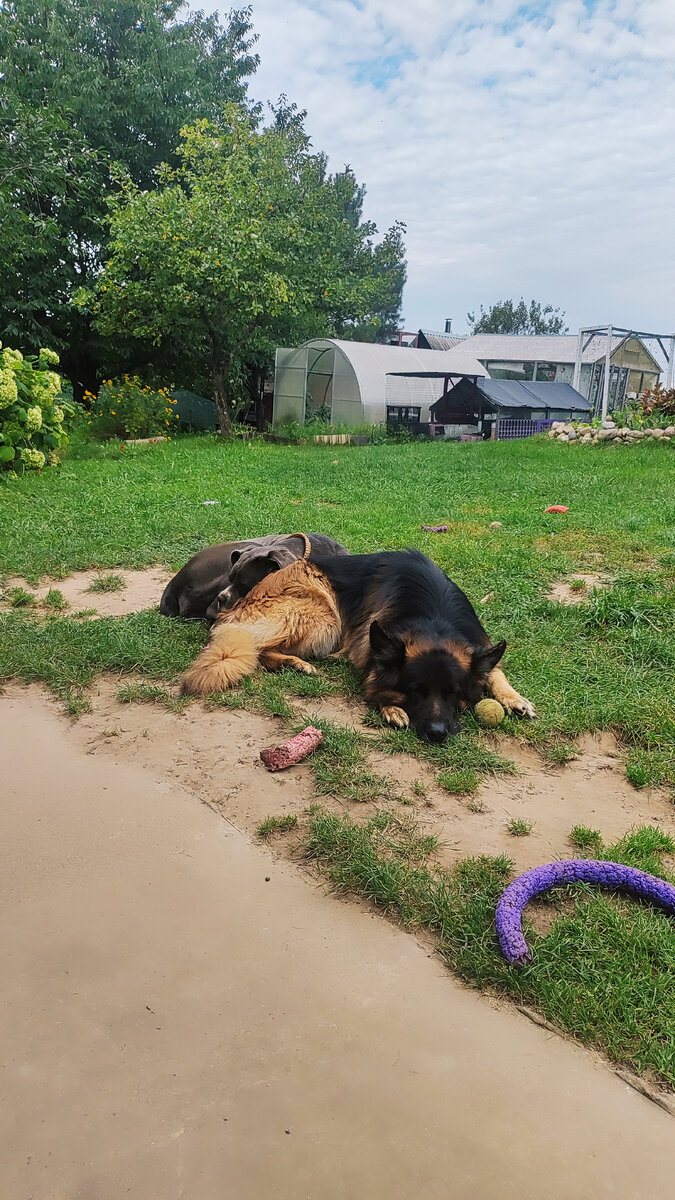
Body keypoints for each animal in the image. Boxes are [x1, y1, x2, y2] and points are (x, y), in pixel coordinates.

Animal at [180, 549, 535, 739]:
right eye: (415, 690)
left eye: (454, 693)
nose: (436, 734)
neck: (434, 616)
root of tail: (233, 609)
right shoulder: (369, 643)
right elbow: (373, 676)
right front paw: (390, 707)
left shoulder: (478, 644)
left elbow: (495, 671)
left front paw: (515, 698)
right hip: (323, 613)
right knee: (261, 649)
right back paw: (296, 663)